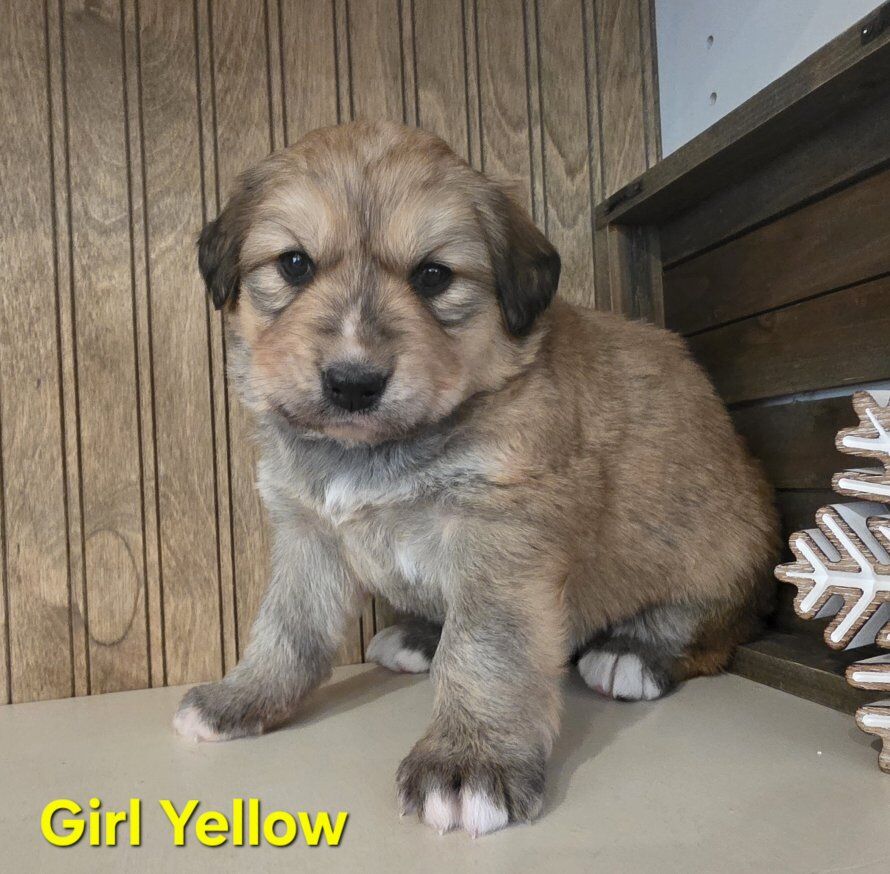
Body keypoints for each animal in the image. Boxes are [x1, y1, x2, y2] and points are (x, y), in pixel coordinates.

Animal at [174, 121, 778, 837]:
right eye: (294, 265)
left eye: (434, 276)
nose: (353, 383)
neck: (378, 449)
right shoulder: (308, 533)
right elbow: (286, 628)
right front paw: (243, 696)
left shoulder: (502, 535)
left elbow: (484, 650)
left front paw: (469, 761)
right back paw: (417, 635)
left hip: (721, 544)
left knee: (717, 625)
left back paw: (635, 652)